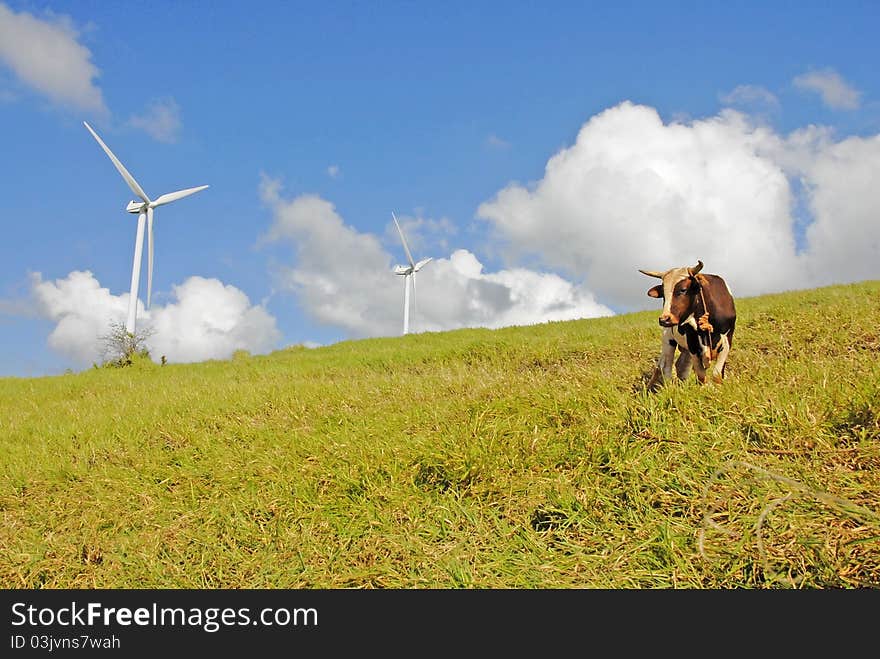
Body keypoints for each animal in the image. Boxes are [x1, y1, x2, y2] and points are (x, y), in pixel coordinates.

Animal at [640, 260, 736, 390]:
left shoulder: (727, 339)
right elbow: (701, 374)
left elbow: (717, 373)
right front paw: (705, 389)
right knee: (666, 367)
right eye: (663, 294)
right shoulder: (692, 343)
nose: (664, 319)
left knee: (681, 366)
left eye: (683, 290)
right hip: (668, 339)